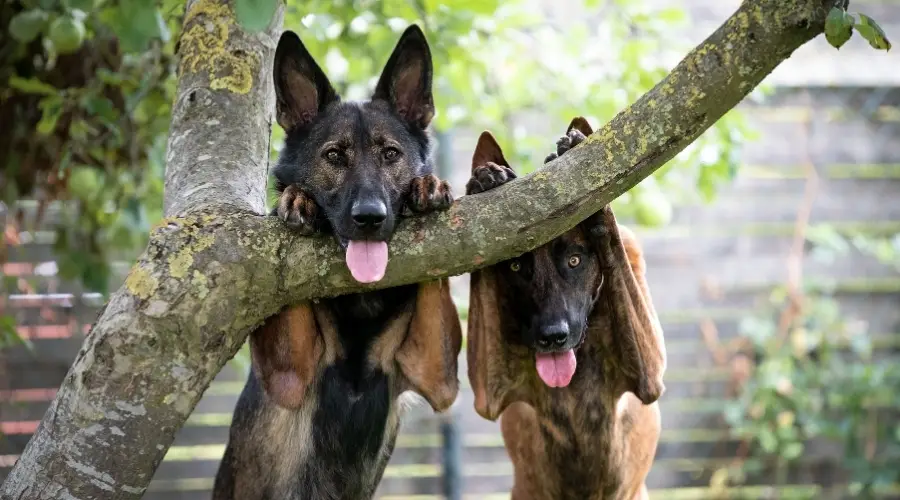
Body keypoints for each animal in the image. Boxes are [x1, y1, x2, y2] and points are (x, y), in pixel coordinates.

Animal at [213, 25, 464, 498]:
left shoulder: (434, 373)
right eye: (333, 156)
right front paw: (296, 200)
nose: (370, 218)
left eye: (390, 154)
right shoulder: (289, 373)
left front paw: (428, 186)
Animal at [464, 118, 668, 500]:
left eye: (574, 260)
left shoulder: (650, 375)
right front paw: (485, 180)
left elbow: (610, 237)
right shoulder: (489, 390)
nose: (552, 337)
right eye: (516, 267)